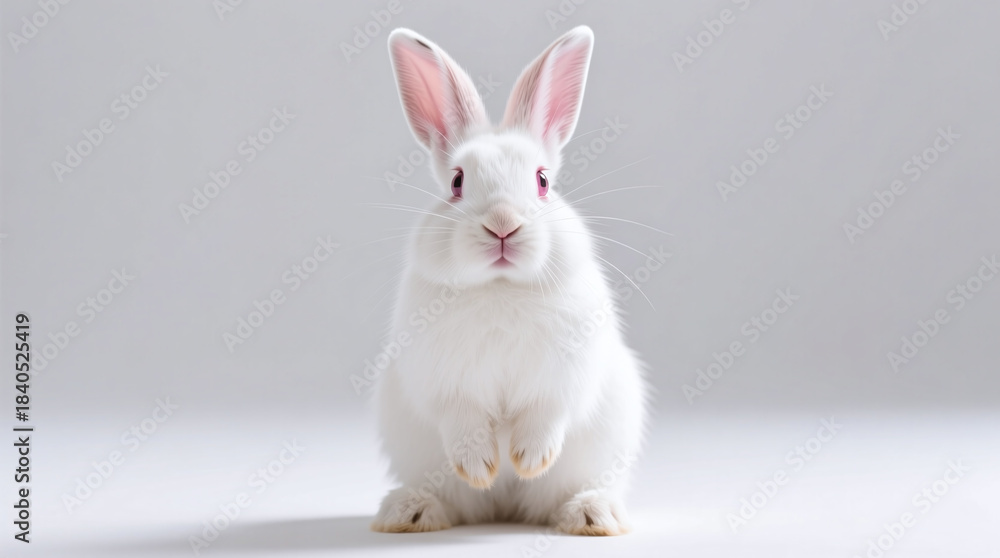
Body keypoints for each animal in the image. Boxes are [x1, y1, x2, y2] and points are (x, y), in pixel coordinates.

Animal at [370, 25, 649, 536]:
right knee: (456, 502)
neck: (500, 288)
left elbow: (548, 411)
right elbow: (460, 418)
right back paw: (410, 512)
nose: (502, 225)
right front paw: (482, 466)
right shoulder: (441, 381)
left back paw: (592, 514)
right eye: (457, 182)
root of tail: (504, 511)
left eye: (542, 181)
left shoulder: (565, 375)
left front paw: (528, 459)